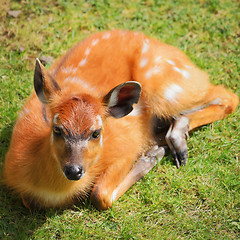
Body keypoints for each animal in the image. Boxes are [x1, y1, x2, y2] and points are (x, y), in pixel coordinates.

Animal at [3, 30, 238, 210]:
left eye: (96, 132)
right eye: (57, 129)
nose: (74, 170)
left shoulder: (126, 147)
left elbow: (100, 195)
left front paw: (151, 156)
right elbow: (28, 201)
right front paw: (154, 153)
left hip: (166, 85)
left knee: (227, 96)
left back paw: (174, 140)